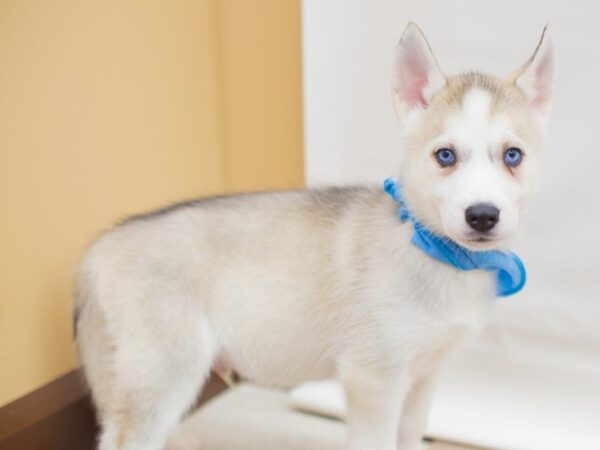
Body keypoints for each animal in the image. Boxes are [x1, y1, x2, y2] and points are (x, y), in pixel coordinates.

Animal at [76, 23, 556, 450]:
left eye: (513, 155)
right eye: (445, 156)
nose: (482, 215)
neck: (436, 253)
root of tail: (104, 243)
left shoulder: (424, 376)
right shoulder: (372, 377)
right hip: (167, 369)